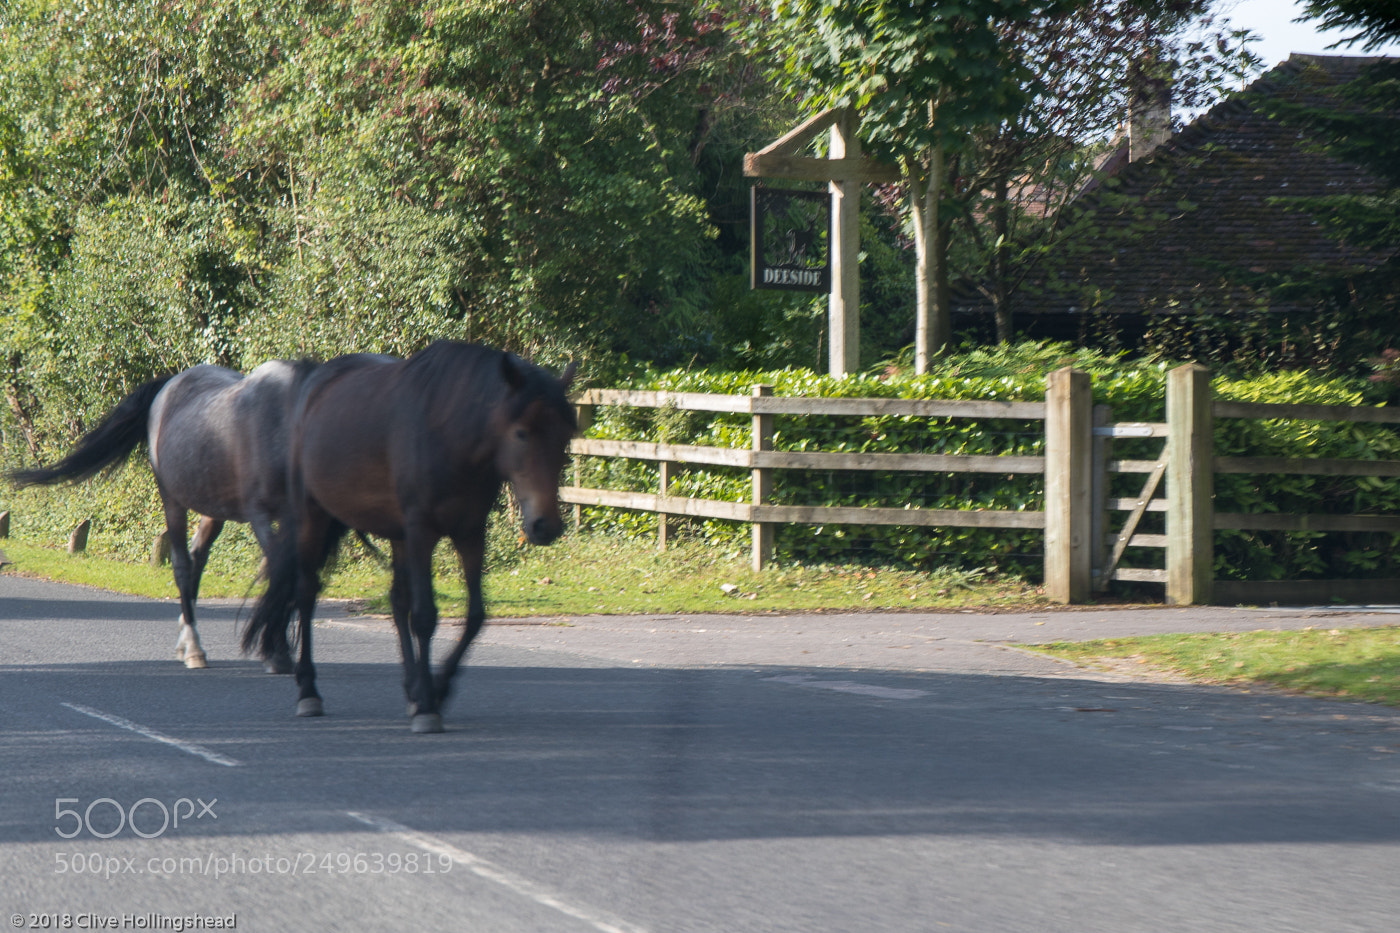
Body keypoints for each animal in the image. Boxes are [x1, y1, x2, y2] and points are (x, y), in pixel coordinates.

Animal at [8, 360, 316, 672]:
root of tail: (171, 384)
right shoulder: (261, 515)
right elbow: (280, 574)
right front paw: (278, 652)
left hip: (212, 508)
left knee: (198, 558)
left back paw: (186, 637)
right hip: (173, 501)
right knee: (183, 565)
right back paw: (193, 647)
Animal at [240, 341, 577, 733]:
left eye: (565, 435)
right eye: (521, 432)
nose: (545, 525)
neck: (450, 434)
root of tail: (313, 380)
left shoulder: (470, 533)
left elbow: (475, 615)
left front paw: (435, 690)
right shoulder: (421, 532)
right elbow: (425, 616)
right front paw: (429, 706)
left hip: (394, 533)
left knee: (396, 600)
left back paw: (411, 687)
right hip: (313, 516)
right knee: (307, 593)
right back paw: (309, 691)